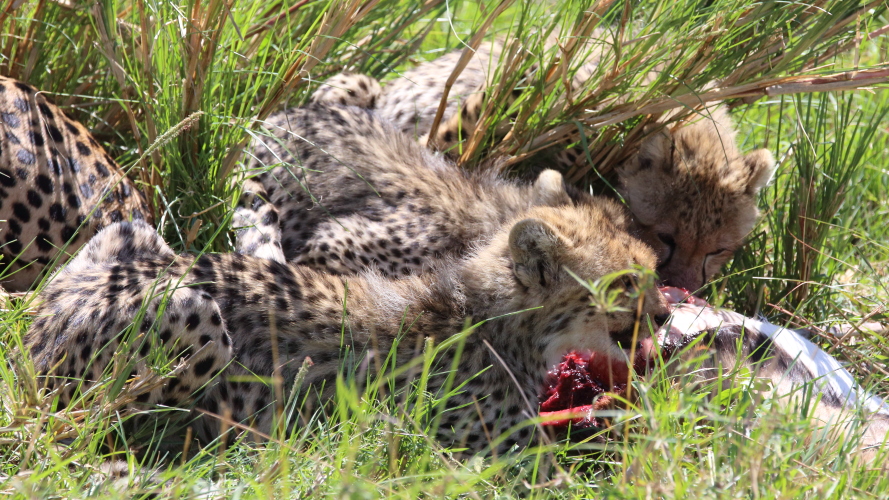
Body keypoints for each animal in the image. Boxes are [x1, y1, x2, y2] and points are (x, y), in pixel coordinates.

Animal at [25, 198, 669, 454]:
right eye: (624, 284)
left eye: (653, 269)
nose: (665, 314)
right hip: (196, 314)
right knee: (78, 424)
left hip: (132, 235)